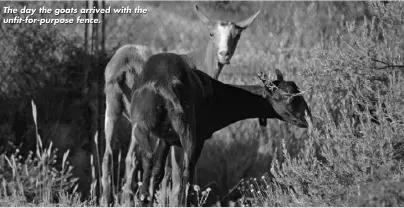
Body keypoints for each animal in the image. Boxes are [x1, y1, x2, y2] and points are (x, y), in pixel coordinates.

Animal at [129, 52, 310, 206]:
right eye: (284, 97)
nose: (305, 120)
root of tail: (165, 86)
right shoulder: (198, 139)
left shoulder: (165, 139)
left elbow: (158, 171)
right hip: (186, 133)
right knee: (187, 171)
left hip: (144, 128)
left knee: (150, 156)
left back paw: (144, 196)